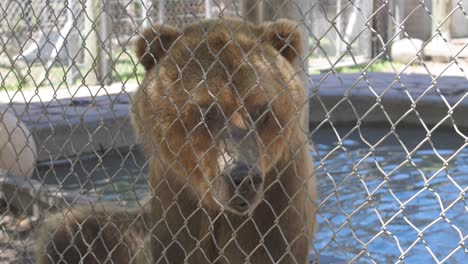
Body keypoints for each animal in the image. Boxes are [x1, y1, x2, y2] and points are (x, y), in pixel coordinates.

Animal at [34, 17, 316, 262]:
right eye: (206, 111)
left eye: (259, 109)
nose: (243, 177)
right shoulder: (175, 200)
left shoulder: (276, 204)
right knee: (72, 232)